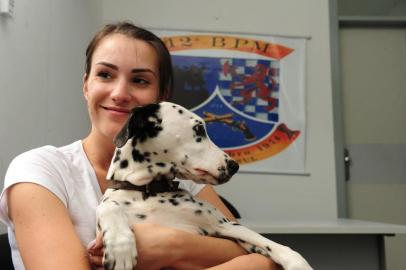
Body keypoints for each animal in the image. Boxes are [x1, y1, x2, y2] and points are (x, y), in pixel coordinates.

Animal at [96, 101, 314, 270]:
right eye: (199, 129)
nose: (234, 166)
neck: (150, 191)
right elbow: (107, 206)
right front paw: (120, 245)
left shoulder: (226, 226)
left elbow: (274, 245)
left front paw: (298, 264)